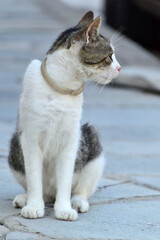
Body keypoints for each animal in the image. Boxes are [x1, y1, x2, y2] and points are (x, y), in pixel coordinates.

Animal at [7, 10, 120, 221]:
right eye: (109, 56)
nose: (119, 68)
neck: (62, 89)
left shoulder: (71, 139)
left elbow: (66, 180)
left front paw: (64, 209)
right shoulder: (30, 138)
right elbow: (33, 177)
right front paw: (33, 206)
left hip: (93, 147)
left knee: (80, 189)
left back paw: (77, 202)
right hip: (14, 149)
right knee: (40, 189)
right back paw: (25, 198)